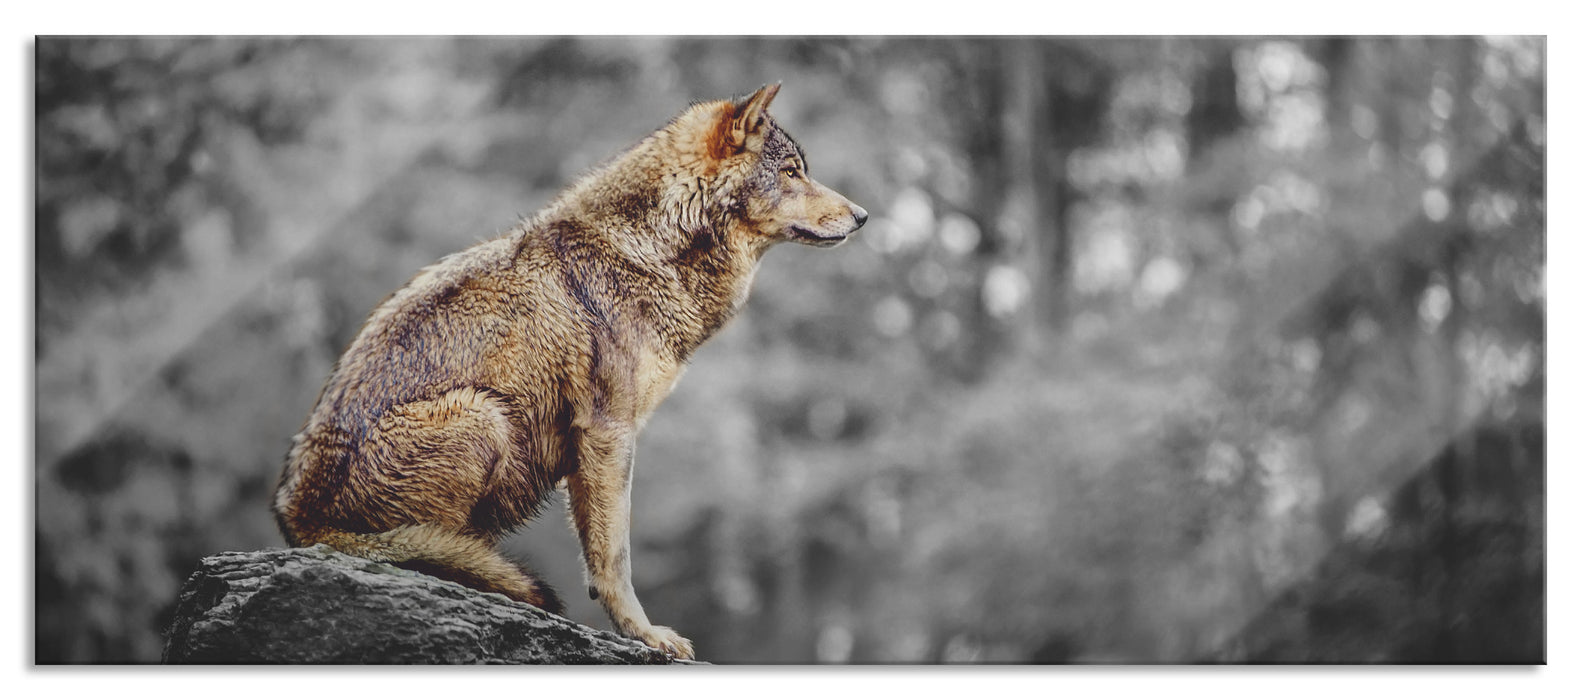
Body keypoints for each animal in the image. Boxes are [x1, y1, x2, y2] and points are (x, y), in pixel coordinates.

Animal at [272, 84, 866, 658]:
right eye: (791, 172)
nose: (862, 216)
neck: (648, 252)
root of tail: (298, 519)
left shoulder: (591, 448)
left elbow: (599, 553)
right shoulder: (608, 432)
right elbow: (615, 556)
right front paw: (645, 635)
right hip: (483, 416)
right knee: (436, 549)